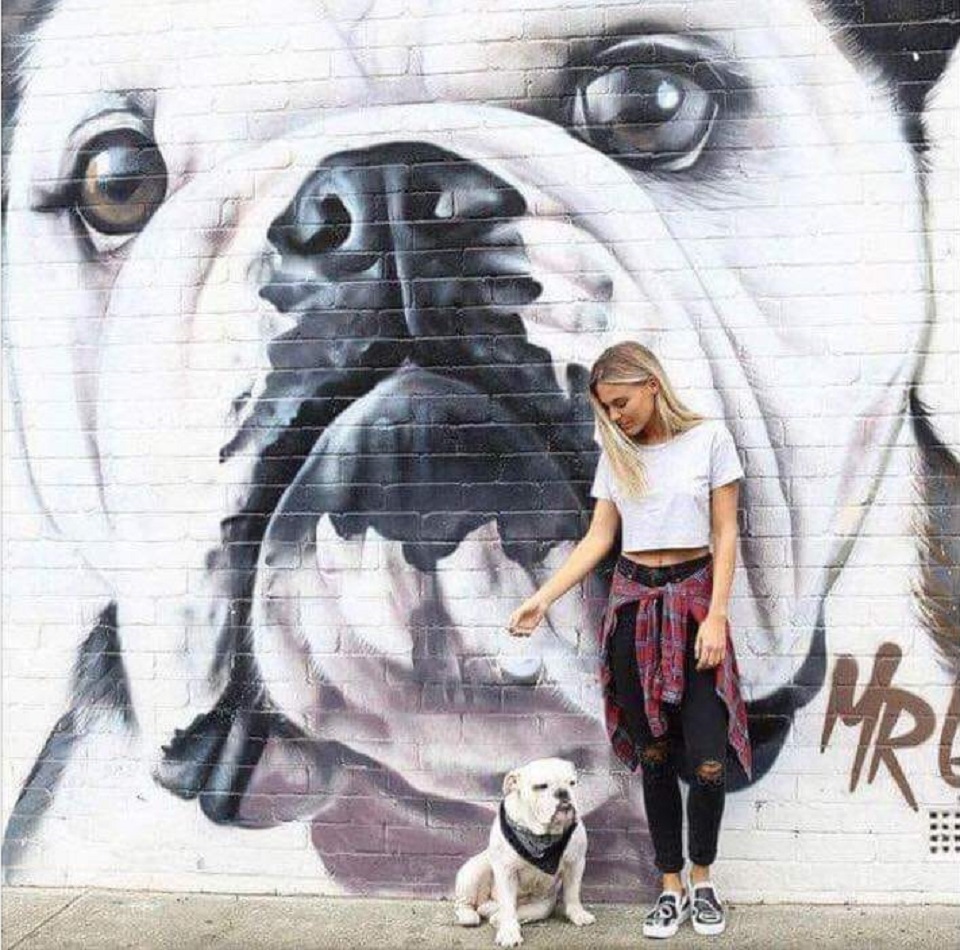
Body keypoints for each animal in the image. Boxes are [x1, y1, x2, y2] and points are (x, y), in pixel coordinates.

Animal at [454, 758, 594, 947]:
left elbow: (573, 892)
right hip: (473, 871)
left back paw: (493, 915)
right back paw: (469, 915)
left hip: (543, 905)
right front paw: (508, 933)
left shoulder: (576, 862)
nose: (563, 793)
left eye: (572, 783)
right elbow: (507, 905)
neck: (541, 835)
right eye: (540, 786)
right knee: (468, 902)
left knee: (516, 911)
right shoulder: (506, 870)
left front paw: (577, 914)